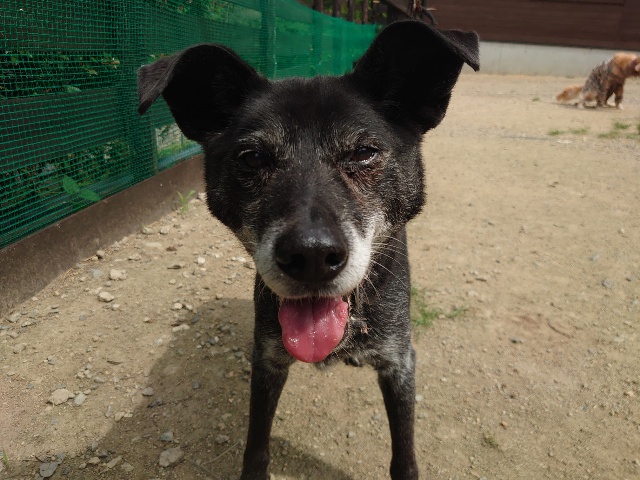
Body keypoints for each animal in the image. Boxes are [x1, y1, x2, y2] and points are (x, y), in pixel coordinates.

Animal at [137, 20, 478, 479]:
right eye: (252, 157)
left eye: (364, 152)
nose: (312, 256)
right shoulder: (267, 359)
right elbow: (256, 445)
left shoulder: (399, 363)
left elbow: (404, 455)